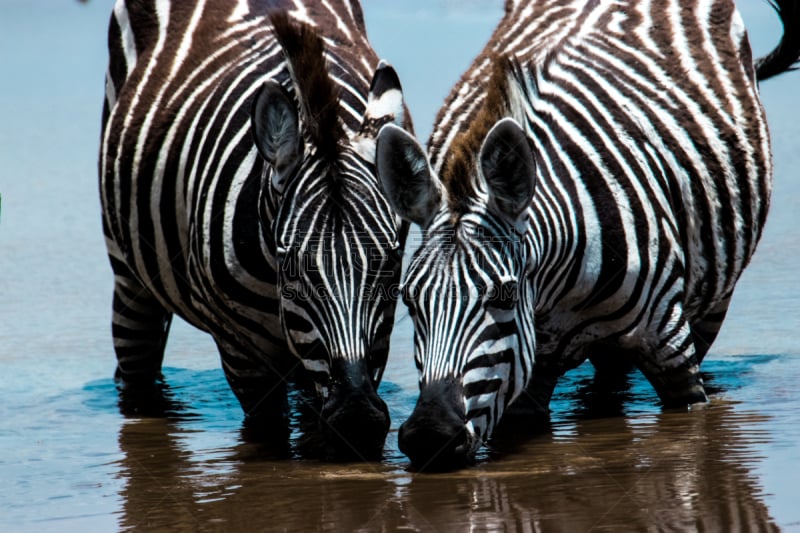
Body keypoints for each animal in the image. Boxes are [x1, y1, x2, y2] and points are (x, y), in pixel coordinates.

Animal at [98, 1, 412, 458]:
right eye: (291, 266)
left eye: (389, 262)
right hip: (129, 273)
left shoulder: (377, 337)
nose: (358, 422)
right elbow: (268, 433)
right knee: (135, 368)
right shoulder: (241, 351)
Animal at [376, 0, 800, 466]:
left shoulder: (671, 347)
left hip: (712, 299)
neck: (555, 290)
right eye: (410, 302)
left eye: (503, 297)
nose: (428, 437)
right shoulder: (530, 374)